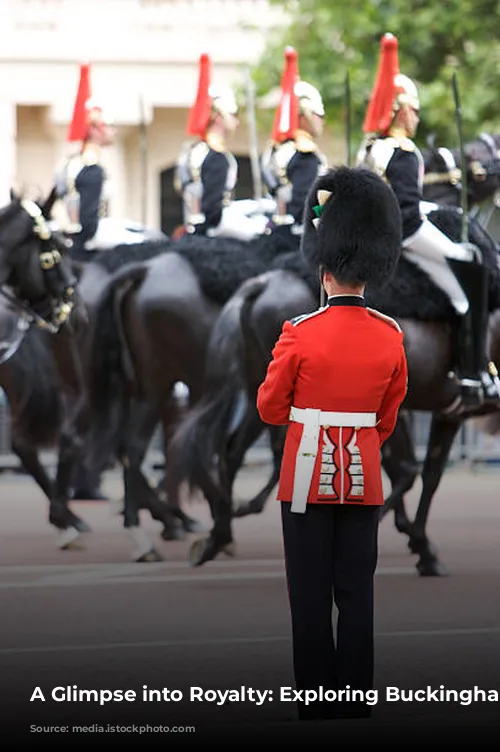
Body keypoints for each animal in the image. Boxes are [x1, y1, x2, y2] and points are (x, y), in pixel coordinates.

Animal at [163, 206, 500, 568]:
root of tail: (263, 283)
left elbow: (415, 471)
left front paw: (414, 539)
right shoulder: (440, 410)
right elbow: (420, 474)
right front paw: (418, 543)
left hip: (260, 389)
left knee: (231, 452)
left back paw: (219, 535)